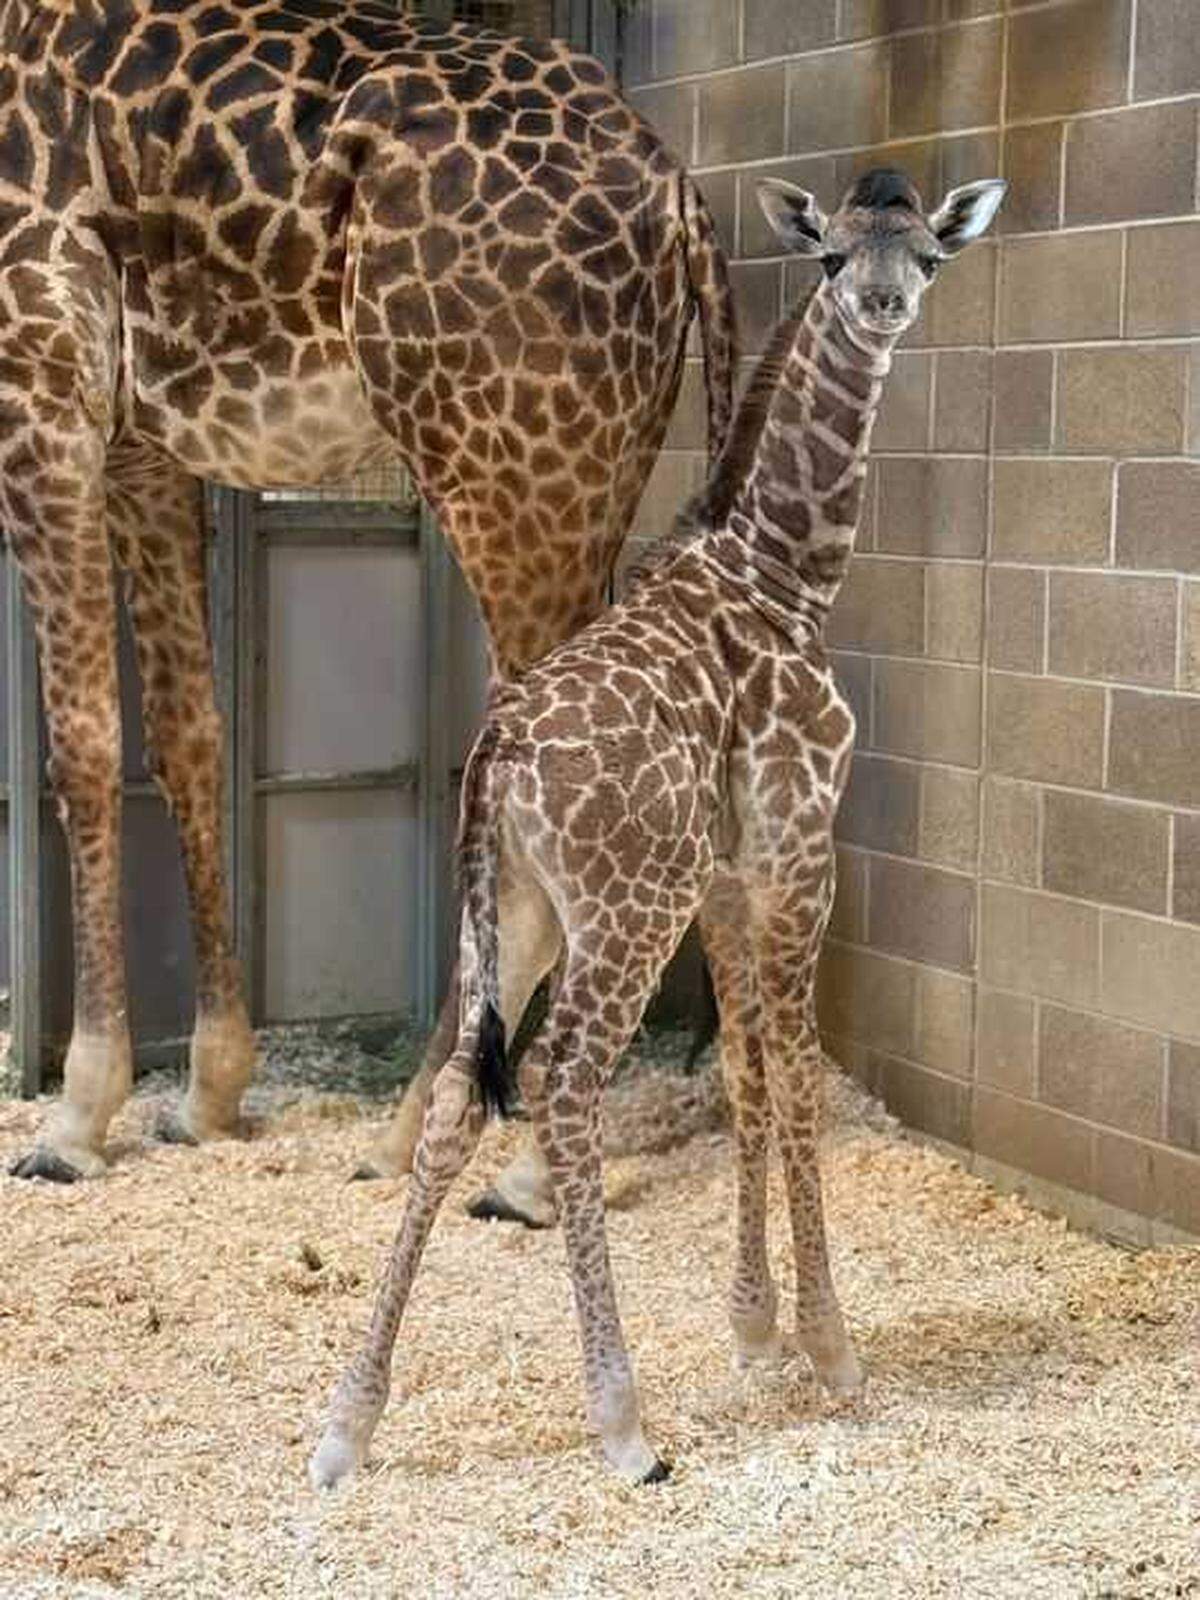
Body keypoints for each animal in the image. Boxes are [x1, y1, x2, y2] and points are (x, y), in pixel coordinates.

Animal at [0, 0, 735, 1182]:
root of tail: (678, 198)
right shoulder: (142, 440)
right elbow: (189, 734)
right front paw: (209, 1090)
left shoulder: (41, 376)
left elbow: (86, 744)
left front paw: (75, 1118)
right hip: (593, 466)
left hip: (506, 468)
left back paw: (487, 1157)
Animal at [310, 166, 1006, 1487]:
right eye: (833, 255)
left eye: (928, 255)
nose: (884, 305)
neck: (786, 570)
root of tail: (498, 765)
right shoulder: (798, 847)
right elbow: (796, 1075)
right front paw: (832, 1350)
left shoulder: (729, 879)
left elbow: (743, 1073)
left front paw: (754, 1326)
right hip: (623, 912)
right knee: (566, 1084)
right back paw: (622, 1423)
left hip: (521, 912)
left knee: (457, 1098)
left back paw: (344, 1426)